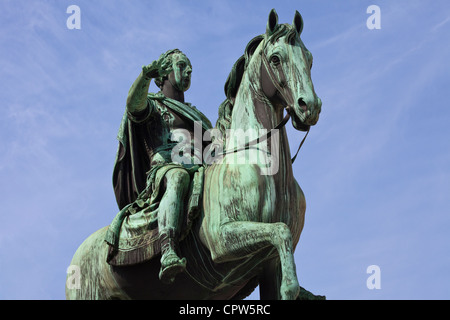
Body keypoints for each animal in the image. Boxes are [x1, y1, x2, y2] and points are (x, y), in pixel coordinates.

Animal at [66, 9, 320, 300]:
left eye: (309, 58)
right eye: (276, 58)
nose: (309, 107)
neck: (260, 164)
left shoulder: (269, 264)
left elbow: (281, 243)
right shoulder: (222, 239)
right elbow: (281, 231)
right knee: (177, 180)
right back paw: (170, 260)